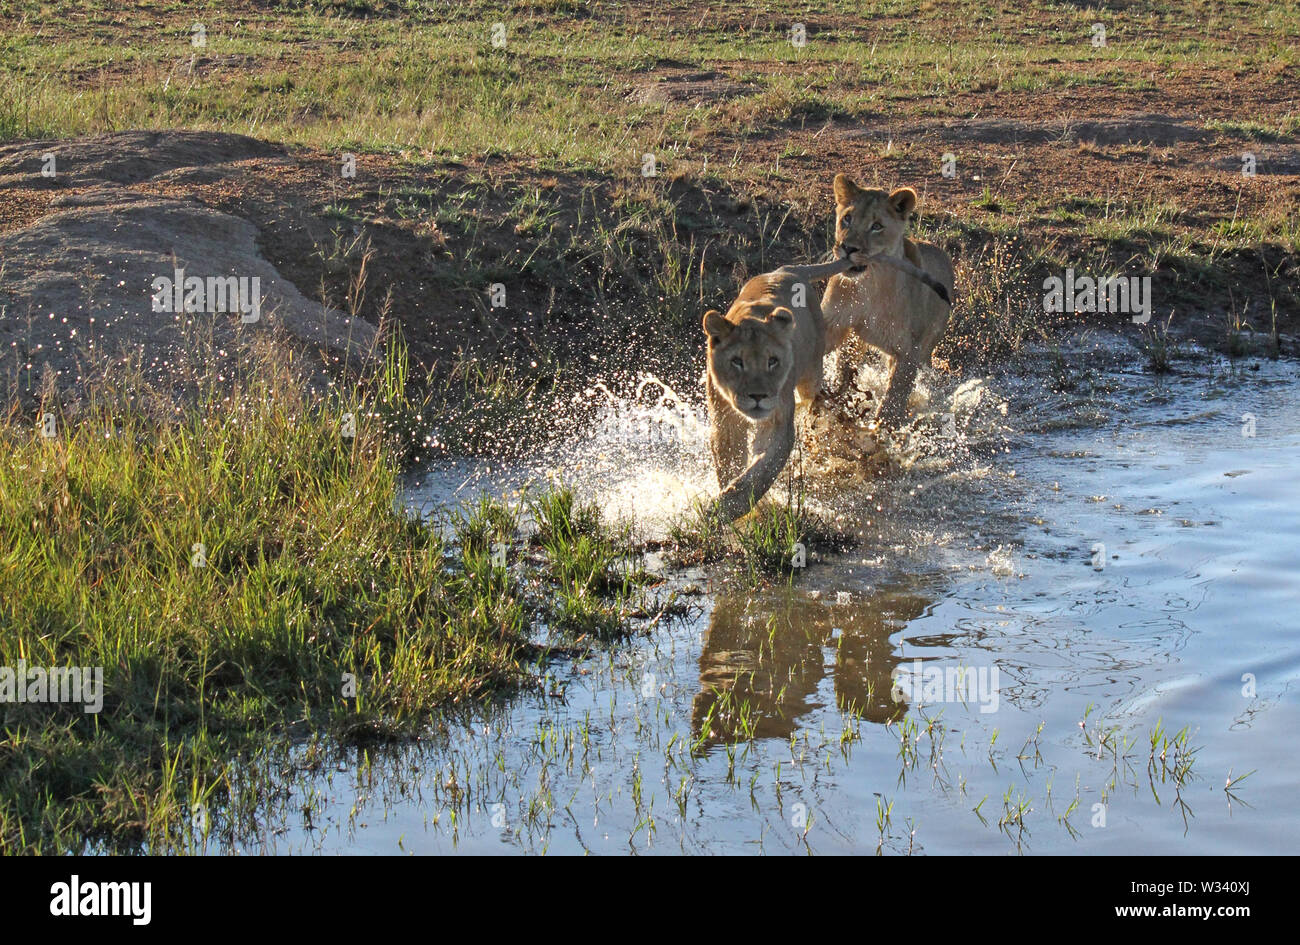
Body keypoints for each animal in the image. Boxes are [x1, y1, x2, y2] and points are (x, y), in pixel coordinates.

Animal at [702, 254, 852, 519]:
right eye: (737, 361)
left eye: (772, 361)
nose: (758, 396)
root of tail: (788, 269)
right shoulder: (725, 419)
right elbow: (730, 461)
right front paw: (726, 503)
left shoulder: (778, 421)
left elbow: (763, 470)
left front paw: (728, 508)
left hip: (811, 373)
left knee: (812, 397)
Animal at [821, 175, 956, 426]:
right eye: (847, 219)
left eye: (877, 226)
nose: (848, 248)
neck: (868, 285)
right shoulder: (833, 324)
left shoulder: (909, 351)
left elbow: (895, 396)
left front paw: (883, 429)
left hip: (928, 345)